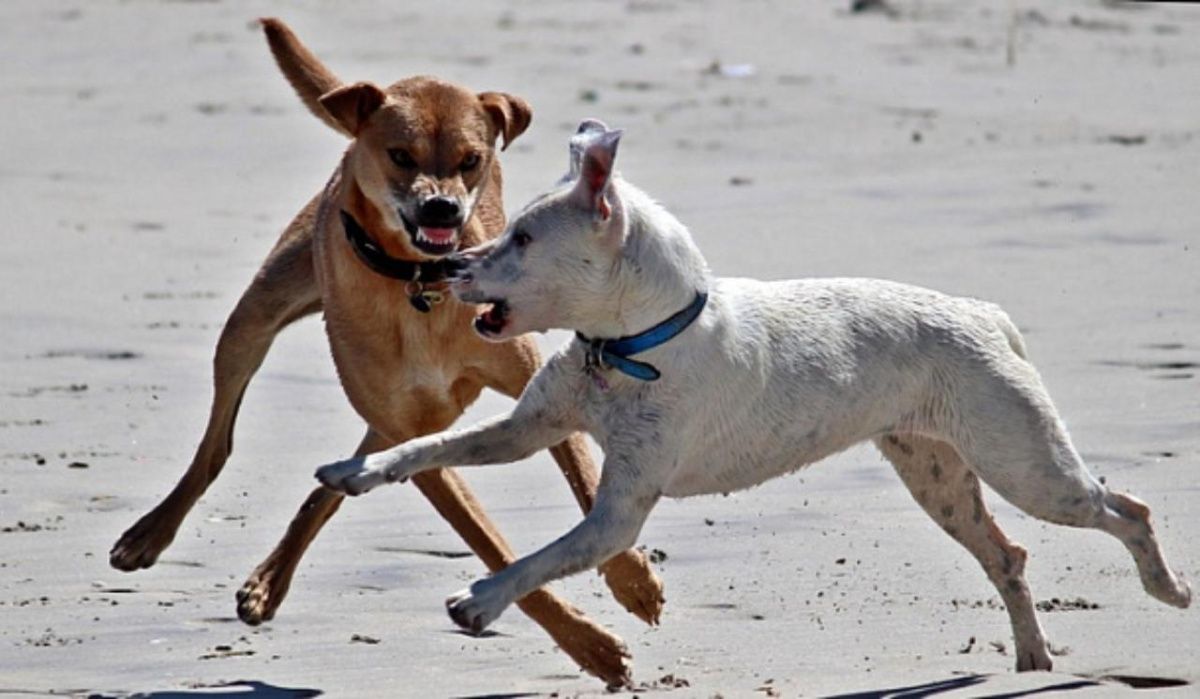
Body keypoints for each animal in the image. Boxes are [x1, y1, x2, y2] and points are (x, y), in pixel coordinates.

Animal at [108, 17, 662, 691]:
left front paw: (633, 581)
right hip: (257, 318)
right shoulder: (417, 436)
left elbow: (582, 477)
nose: (442, 207)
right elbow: (490, 544)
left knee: (341, 471)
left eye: (471, 161)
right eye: (400, 155)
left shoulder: (525, 391)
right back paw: (153, 534)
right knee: (219, 440)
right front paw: (592, 646)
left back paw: (270, 578)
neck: (418, 284)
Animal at [319, 118, 1190, 672]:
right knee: (1008, 554)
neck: (634, 344)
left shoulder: (617, 516)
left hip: (1029, 467)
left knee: (1127, 509)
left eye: (523, 239)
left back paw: (1168, 588)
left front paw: (481, 600)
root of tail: (985, 312)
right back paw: (1033, 656)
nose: (444, 268)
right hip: (939, 478)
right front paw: (356, 471)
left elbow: (542, 558)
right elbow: (427, 445)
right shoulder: (529, 429)